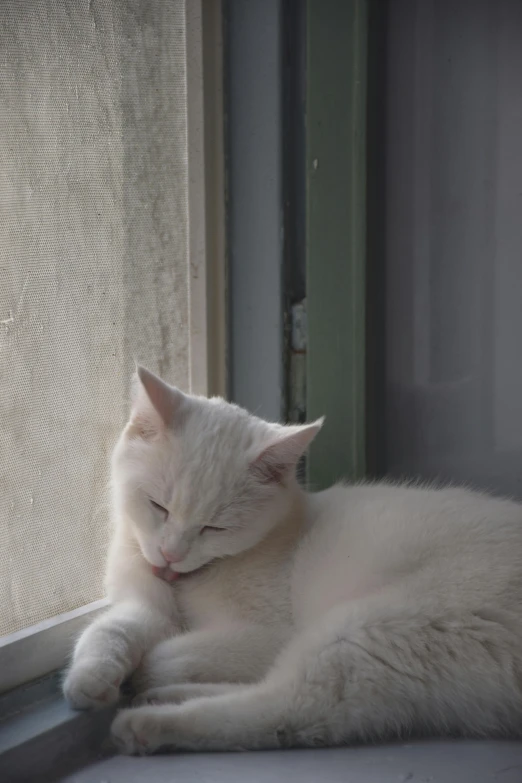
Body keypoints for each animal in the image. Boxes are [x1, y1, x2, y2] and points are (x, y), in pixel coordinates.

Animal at [63, 368, 520, 752]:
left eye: (215, 527)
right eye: (158, 506)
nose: (171, 554)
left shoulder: (270, 635)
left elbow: (170, 653)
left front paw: (144, 671)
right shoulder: (140, 603)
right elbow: (113, 627)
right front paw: (92, 678)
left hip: (370, 629)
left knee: (288, 711)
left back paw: (147, 722)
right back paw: (159, 700)